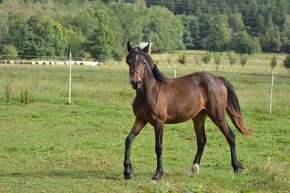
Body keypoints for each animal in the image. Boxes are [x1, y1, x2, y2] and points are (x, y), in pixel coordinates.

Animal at [123, 41, 250, 180]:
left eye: (144, 62)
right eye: (129, 61)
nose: (136, 82)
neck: (150, 92)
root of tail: (218, 79)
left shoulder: (159, 123)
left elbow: (158, 147)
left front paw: (158, 174)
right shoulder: (141, 119)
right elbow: (128, 139)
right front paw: (128, 172)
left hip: (217, 115)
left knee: (230, 136)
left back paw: (237, 167)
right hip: (199, 118)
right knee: (202, 140)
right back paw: (193, 168)